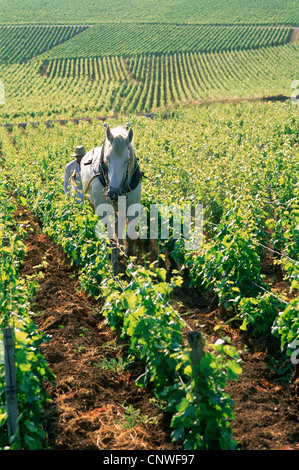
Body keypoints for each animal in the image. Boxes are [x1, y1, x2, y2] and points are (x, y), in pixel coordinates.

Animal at [81, 124, 143, 276]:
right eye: (107, 159)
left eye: (127, 160)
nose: (113, 193)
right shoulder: (103, 210)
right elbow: (110, 239)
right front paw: (114, 265)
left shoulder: (133, 206)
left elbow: (130, 236)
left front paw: (130, 254)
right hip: (90, 202)